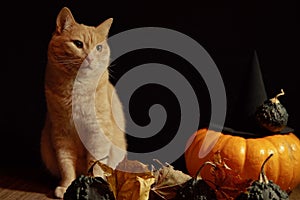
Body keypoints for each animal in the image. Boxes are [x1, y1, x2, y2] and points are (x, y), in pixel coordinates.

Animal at [40, 6, 127, 198]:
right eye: (78, 44)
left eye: (99, 47)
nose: (90, 58)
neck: (76, 88)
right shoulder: (62, 133)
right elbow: (66, 165)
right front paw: (66, 186)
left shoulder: (97, 132)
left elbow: (95, 163)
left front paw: (96, 184)